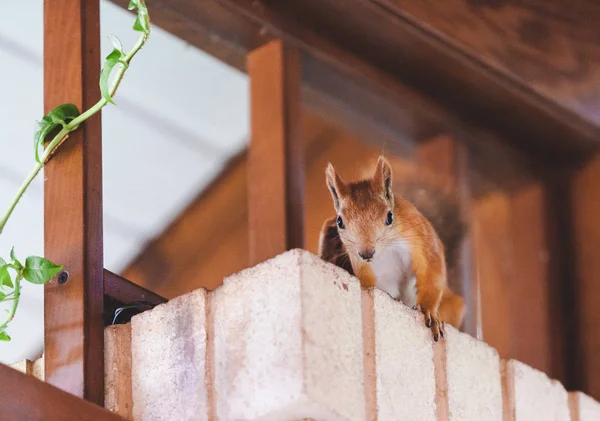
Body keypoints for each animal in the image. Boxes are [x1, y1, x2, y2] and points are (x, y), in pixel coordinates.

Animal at [318, 156, 464, 340]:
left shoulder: (422, 236)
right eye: (340, 222)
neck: (387, 249)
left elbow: (433, 271)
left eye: (390, 216)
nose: (366, 253)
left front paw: (429, 312)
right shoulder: (362, 267)